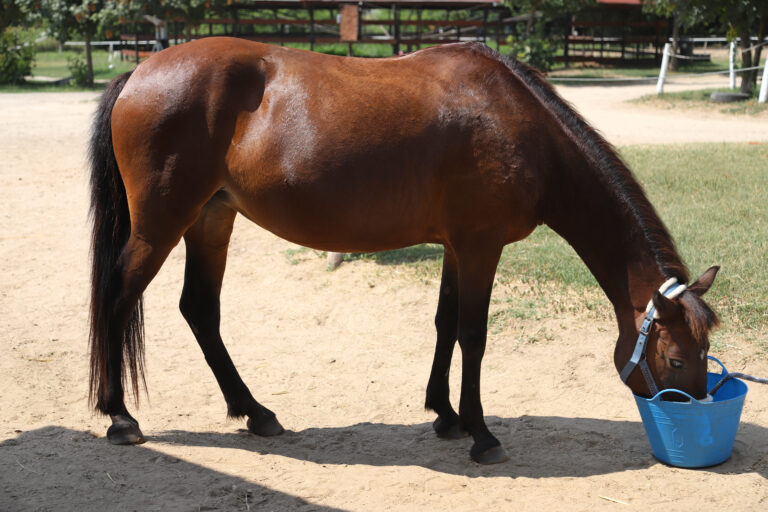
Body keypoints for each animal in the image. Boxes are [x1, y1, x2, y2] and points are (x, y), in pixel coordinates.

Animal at [88, 38, 720, 464]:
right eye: (675, 359)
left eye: (703, 353)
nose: (694, 410)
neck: (520, 124)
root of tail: (140, 70)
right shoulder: (481, 245)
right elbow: (473, 335)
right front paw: (482, 434)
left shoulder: (456, 247)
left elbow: (443, 325)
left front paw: (445, 415)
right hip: (161, 225)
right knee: (117, 299)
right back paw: (120, 416)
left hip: (212, 219)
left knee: (200, 311)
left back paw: (257, 413)